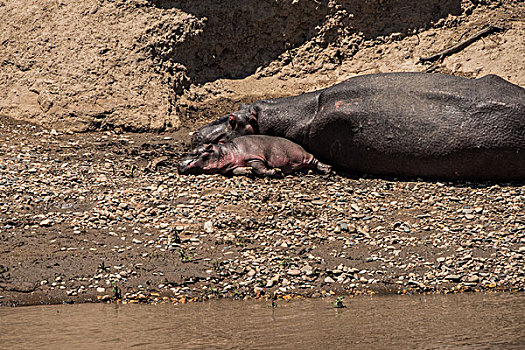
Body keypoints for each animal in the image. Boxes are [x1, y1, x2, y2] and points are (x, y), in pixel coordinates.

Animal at [178, 135, 330, 176]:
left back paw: (327, 169)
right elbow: (237, 170)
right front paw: (247, 171)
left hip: (303, 155)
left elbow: (259, 168)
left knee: (315, 160)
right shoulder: (231, 166)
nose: (179, 164)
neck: (226, 151)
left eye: (197, 152)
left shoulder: (255, 156)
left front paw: (276, 171)